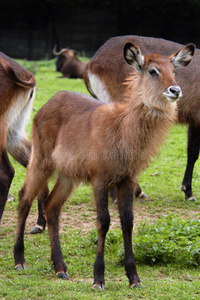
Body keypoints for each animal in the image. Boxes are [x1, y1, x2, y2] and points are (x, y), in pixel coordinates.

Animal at [84, 35, 200, 202]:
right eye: (153, 71)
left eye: (174, 72)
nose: (176, 90)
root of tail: (92, 61)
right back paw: (126, 193)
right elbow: (193, 153)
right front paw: (189, 192)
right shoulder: (196, 119)